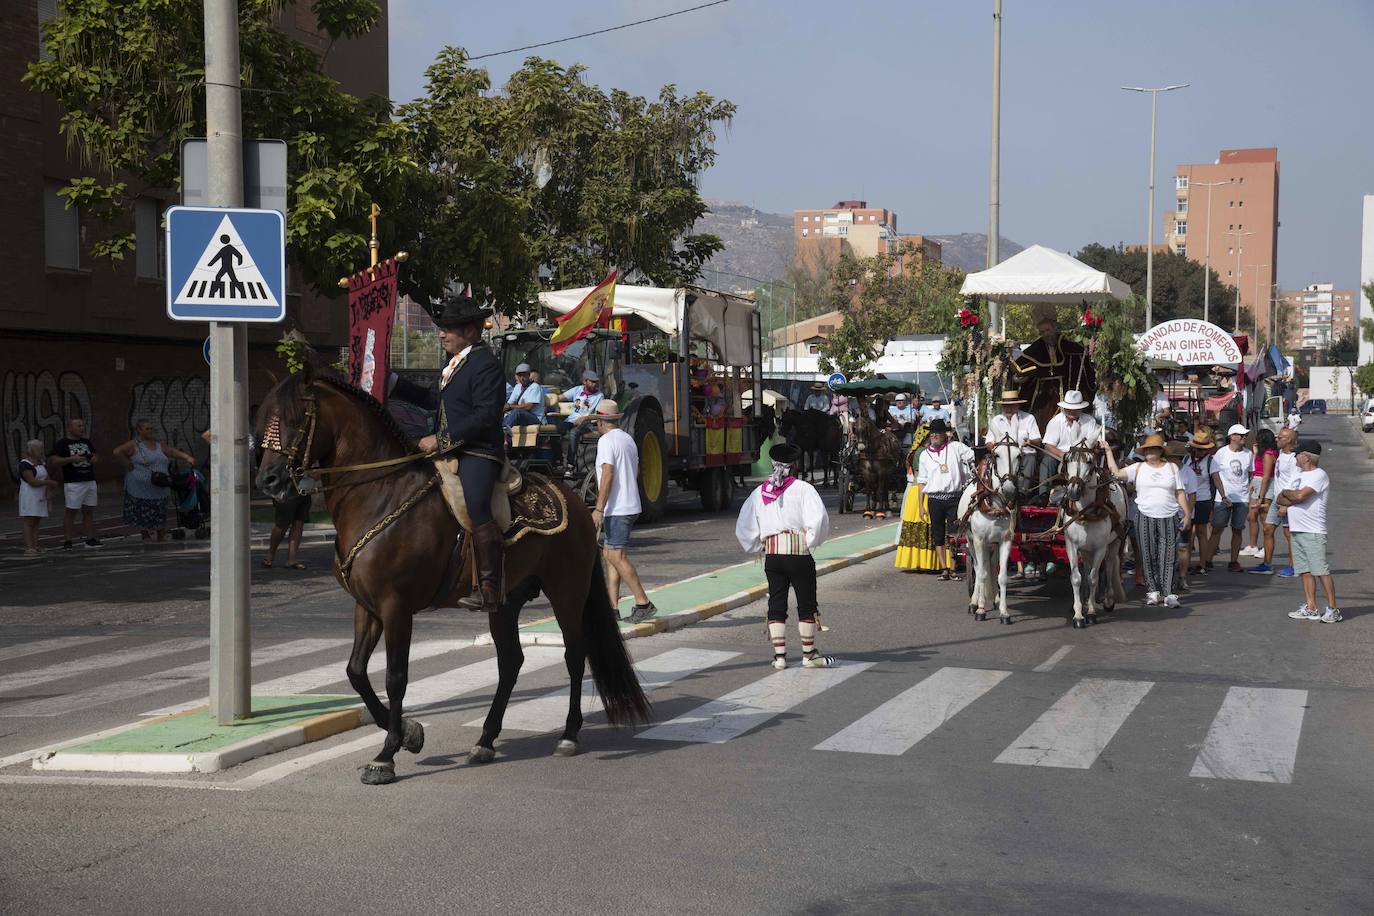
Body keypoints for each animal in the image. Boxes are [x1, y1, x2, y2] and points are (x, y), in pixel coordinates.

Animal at [255, 362, 651, 785]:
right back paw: (486, 740)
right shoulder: (367, 606)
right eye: (265, 417)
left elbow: (396, 678)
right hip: (505, 602)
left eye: (296, 418)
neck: (381, 495)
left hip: (567, 591)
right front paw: (410, 733)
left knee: (574, 655)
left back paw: (568, 735)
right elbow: (356, 672)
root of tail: (578, 503)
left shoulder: (396, 607)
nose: (268, 481)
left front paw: (386, 754)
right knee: (510, 662)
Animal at [961, 436, 1027, 623]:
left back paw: (996, 600)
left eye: (1019, 456)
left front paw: (1004, 612)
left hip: (994, 544)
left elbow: (1002, 576)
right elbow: (982, 573)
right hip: (971, 542)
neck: (995, 506)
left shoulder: (1005, 540)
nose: (1010, 490)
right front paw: (980, 609)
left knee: (991, 565)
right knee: (978, 568)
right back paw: (974, 602)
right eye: (996, 455)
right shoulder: (979, 541)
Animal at [1060, 442, 1126, 631]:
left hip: (1114, 542)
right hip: (1086, 550)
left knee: (1110, 566)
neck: (1085, 512)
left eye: (1089, 461)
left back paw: (1108, 599)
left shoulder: (1100, 548)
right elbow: (1077, 578)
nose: (1073, 491)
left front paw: (1090, 613)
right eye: (1068, 459)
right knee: (1088, 567)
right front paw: (1078, 615)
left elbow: (1093, 578)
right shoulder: (1072, 546)